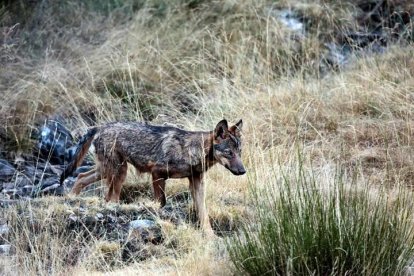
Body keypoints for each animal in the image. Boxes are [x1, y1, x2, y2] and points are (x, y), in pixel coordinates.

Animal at [59, 119, 244, 232]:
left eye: (239, 152)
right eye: (229, 153)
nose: (243, 171)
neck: (190, 150)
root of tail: (99, 127)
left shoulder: (196, 183)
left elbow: (203, 214)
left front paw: (210, 235)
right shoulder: (157, 173)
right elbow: (161, 202)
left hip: (107, 171)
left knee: (81, 177)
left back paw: (71, 198)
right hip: (118, 172)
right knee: (109, 197)